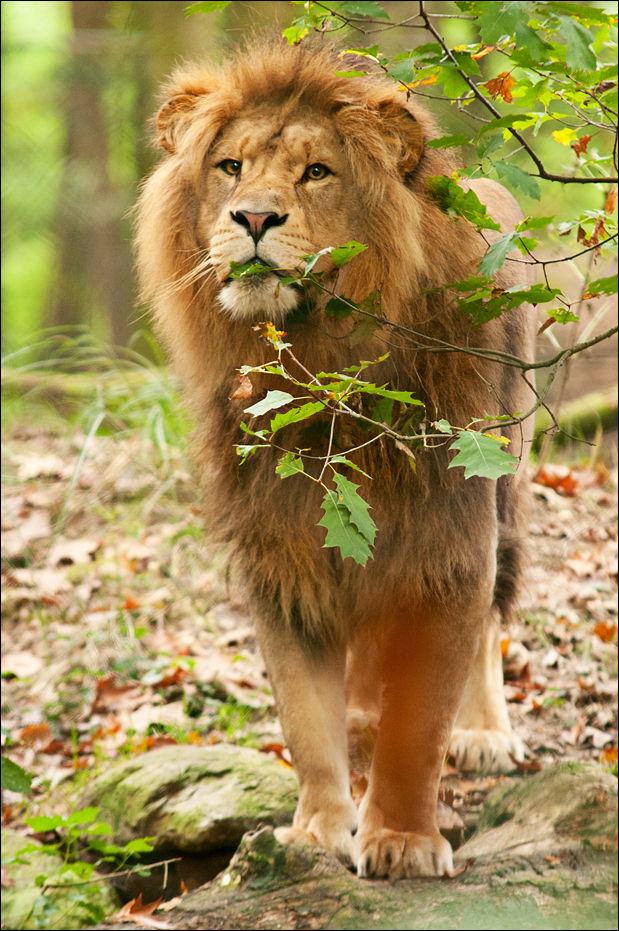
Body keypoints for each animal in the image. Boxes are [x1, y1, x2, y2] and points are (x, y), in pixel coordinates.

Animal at [135, 40, 536, 879]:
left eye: (316, 172)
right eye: (229, 166)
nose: (253, 217)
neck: (317, 364)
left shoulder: (448, 542)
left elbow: (420, 719)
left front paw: (402, 841)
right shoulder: (279, 553)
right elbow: (302, 717)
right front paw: (319, 828)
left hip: (506, 485)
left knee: (493, 617)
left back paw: (482, 731)